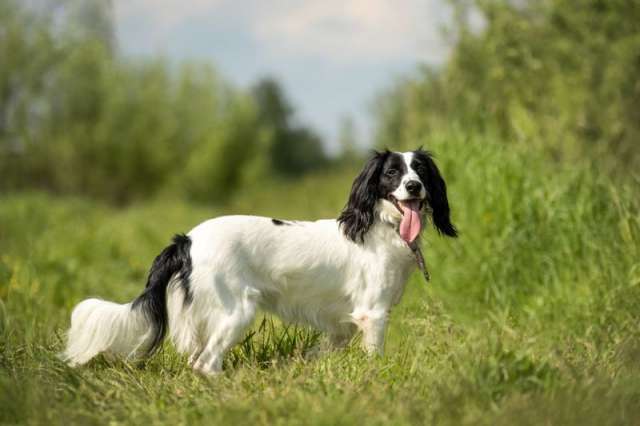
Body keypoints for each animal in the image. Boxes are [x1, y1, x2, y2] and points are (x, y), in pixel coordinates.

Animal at [62, 148, 458, 374]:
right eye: (392, 173)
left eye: (421, 170)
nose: (413, 186)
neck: (379, 228)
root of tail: (187, 240)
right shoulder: (372, 315)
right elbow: (375, 358)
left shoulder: (342, 326)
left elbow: (320, 351)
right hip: (236, 312)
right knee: (205, 364)